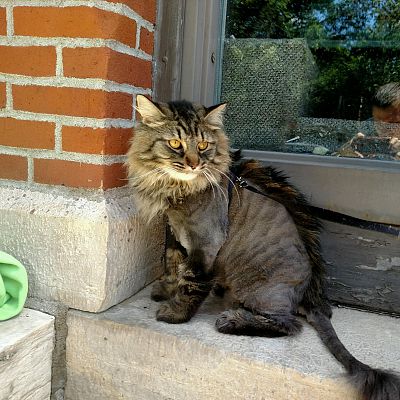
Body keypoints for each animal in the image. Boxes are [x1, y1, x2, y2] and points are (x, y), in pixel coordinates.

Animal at [126, 94, 400, 400]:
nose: (194, 165)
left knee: (288, 324)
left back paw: (231, 320)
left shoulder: (204, 244)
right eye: (175, 144)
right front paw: (164, 291)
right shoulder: (176, 235)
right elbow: (172, 266)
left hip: (257, 290)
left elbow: (191, 285)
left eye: (203, 146)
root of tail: (307, 296)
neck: (176, 189)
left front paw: (175, 315)